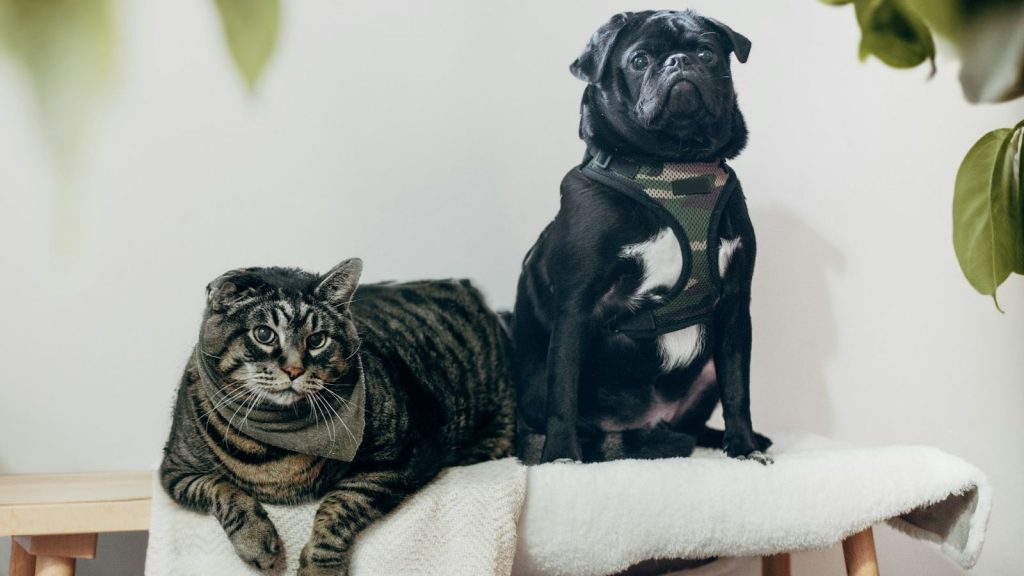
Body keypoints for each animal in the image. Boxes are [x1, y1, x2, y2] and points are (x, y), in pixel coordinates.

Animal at [160, 258, 516, 569]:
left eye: (317, 340)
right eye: (264, 334)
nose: (294, 370)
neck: (277, 446)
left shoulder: (404, 457)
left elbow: (341, 504)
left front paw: (321, 566)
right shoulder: (175, 471)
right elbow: (222, 489)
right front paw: (258, 542)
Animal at [516, 8, 770, 463]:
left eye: (707, 53)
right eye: (638, 61)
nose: (678, 62)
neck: (675, 166)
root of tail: (648, 423)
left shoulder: (736, 306)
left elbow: (738, 389)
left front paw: (743, 447)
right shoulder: (575, 309)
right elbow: (562, 392)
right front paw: (562, 458)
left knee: (696, 419)